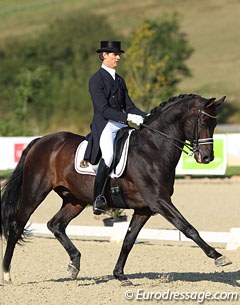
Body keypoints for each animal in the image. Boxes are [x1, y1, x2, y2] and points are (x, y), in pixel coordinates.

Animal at [0, 94, 231, 284]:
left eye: (215, 123)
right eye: (203, 122)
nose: (207, 158)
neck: (152, 149)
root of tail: (41, 141)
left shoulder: (144, 208)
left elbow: (128, 240)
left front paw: (119, 275)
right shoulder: (159, 201)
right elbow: (187, 227)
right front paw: (219, 257)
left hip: (75, 200)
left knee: (55, 224)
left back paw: (75, 264)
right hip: (34, 193)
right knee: (17, 226)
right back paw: (7, 274)